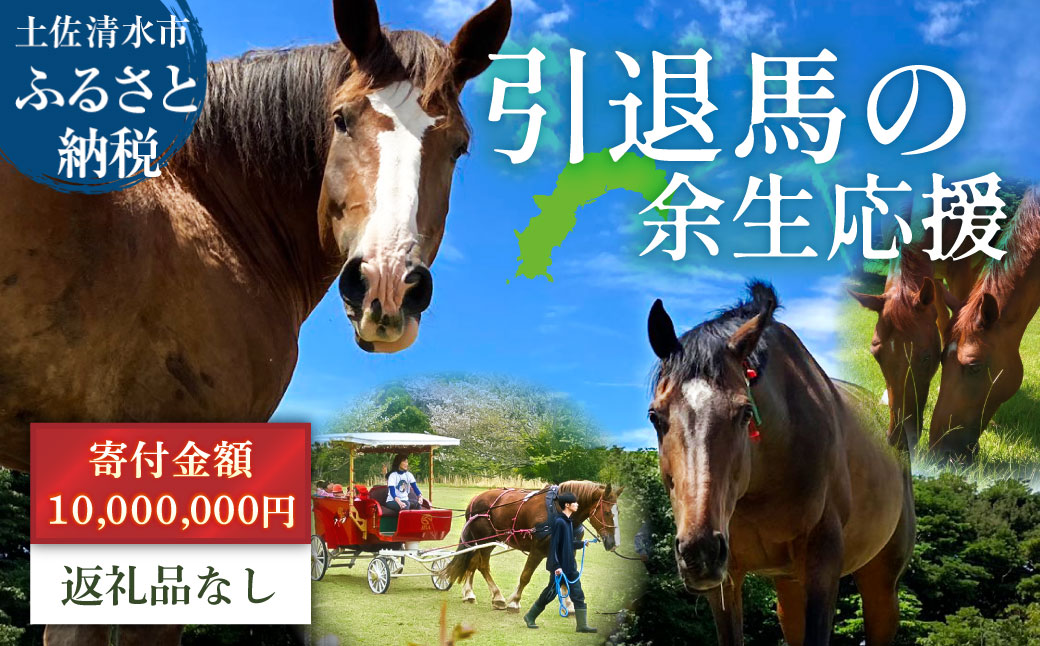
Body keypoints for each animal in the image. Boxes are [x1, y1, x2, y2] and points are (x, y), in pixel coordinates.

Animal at [443, 481, 622, 613]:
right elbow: (525, 576)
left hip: (487, 541)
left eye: (618, 512)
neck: (559, 511)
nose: (614, 543)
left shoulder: (567, 550)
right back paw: (497, 597)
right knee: (482, 565)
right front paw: (514, 602)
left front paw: (569, 605)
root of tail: (475, 499)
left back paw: (469, 593)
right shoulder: (537, 550)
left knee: (473, 562)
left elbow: (566, 577)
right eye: (607, 512)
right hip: (483, 540)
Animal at [647, 282, 915, 646]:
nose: (699, 551)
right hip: (788, 585)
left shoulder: (822, 563)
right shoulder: (727, 578)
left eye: (745, 412)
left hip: (881, 580)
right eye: (655, 416)